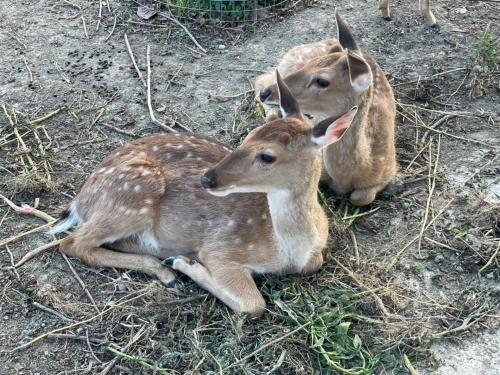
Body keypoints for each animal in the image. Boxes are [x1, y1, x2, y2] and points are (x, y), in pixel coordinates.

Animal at [49, 72, 356, 318]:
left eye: (267, 156)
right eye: (248, 135)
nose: (207, 177)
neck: (288, 251)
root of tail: (80, 201)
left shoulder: (314, 255)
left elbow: (314, 264)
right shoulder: (221, 249)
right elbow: (253, 304)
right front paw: (186, 263)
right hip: (133, 197)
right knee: (72, 243)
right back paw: (167, 271)